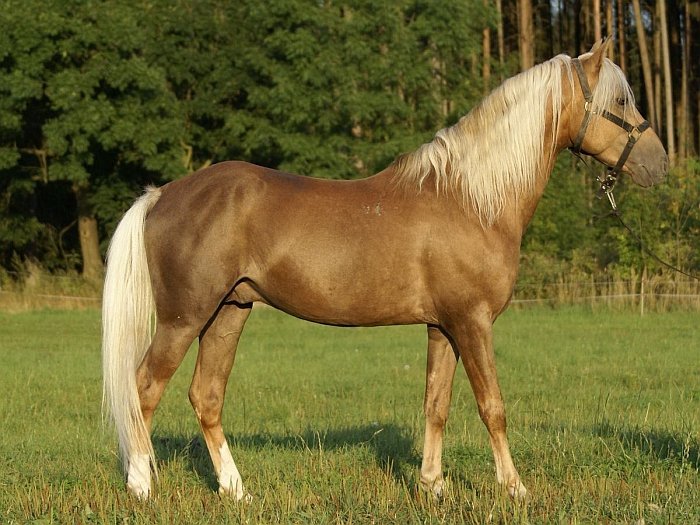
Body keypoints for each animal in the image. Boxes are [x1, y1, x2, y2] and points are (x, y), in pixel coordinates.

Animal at [102, 40, 667, 501]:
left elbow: (436, 404)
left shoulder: (443, 325)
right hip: (184, 319)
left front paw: (433, 487)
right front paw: (515, 489)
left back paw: (236, 491)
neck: (471, 199)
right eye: (621, 102)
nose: (660, 164)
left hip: (230, 311)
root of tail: (162, 195)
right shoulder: (472, 321)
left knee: (206, 396)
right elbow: (492, 406)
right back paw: (141, 487)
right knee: (144, 390)